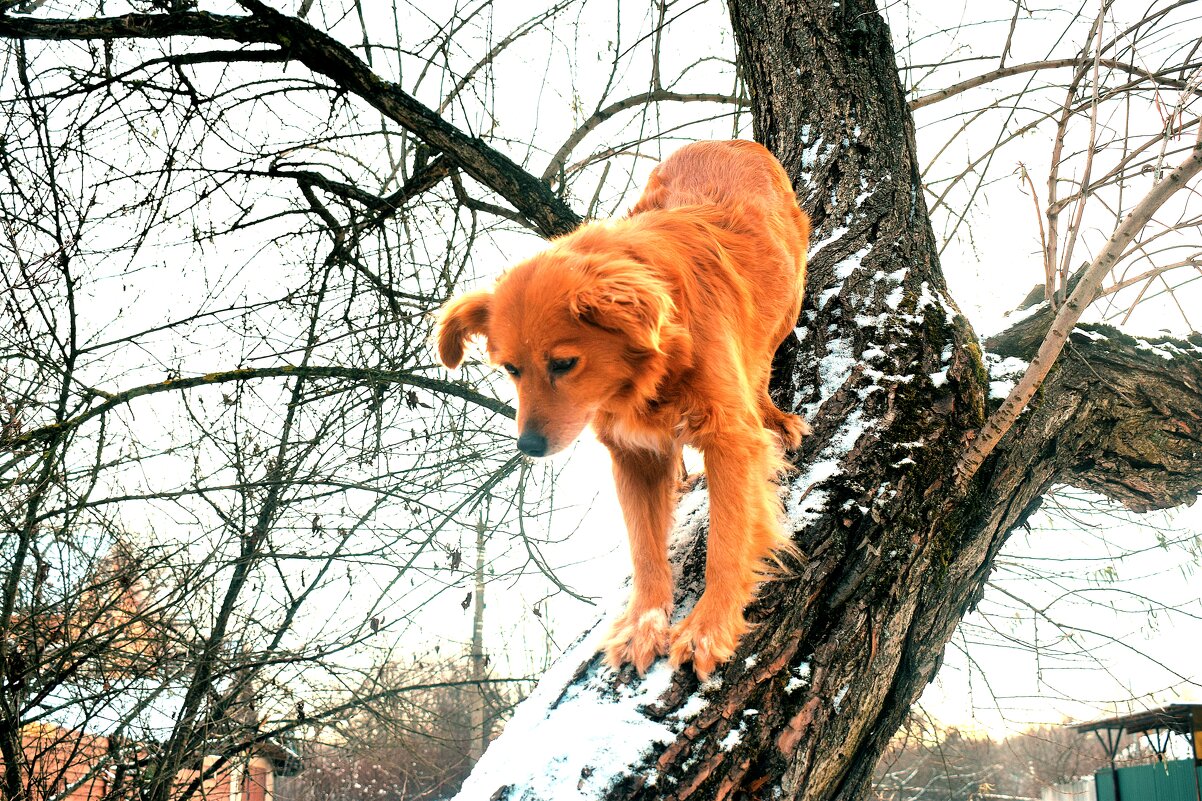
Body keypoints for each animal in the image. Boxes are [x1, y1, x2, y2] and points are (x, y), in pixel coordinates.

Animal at [437, 140, 812, 678]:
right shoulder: (632, 453)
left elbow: (727, 540)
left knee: (761, 365)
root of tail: (729, 141)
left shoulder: (729, 437)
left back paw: (776, 419)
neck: (648, 375)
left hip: (786, 299)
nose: (528, 446)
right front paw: (642, 624)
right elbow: (644, 548)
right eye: (510, 368)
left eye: (564, 363)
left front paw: (708, 626)